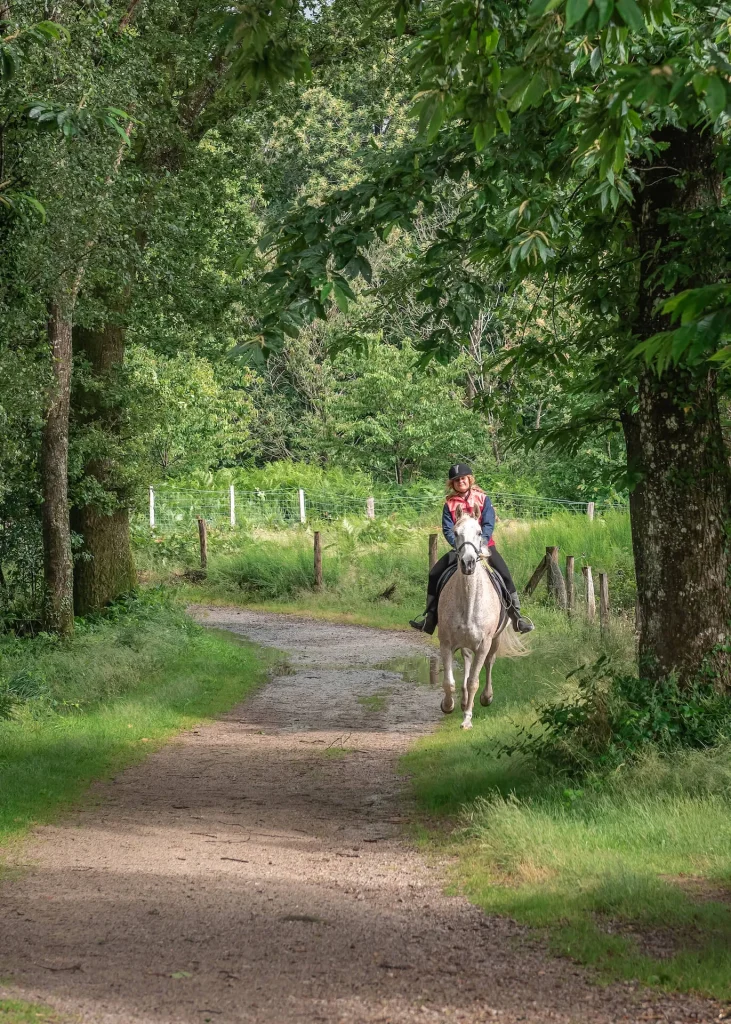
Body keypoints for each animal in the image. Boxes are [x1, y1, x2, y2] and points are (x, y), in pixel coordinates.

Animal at [436, 503, 520, 729]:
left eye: (480, 532)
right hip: (466, 643)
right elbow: (449, 681)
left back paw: (486, 697)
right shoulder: (446, 643)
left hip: (495, 640)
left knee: (490, 663)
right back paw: (464, 700)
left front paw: (467, 720)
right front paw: (448, 705)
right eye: (456, 533)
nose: (468, 563)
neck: (469, 600)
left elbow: (474, 681)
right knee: (466, 661)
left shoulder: (484, 644)